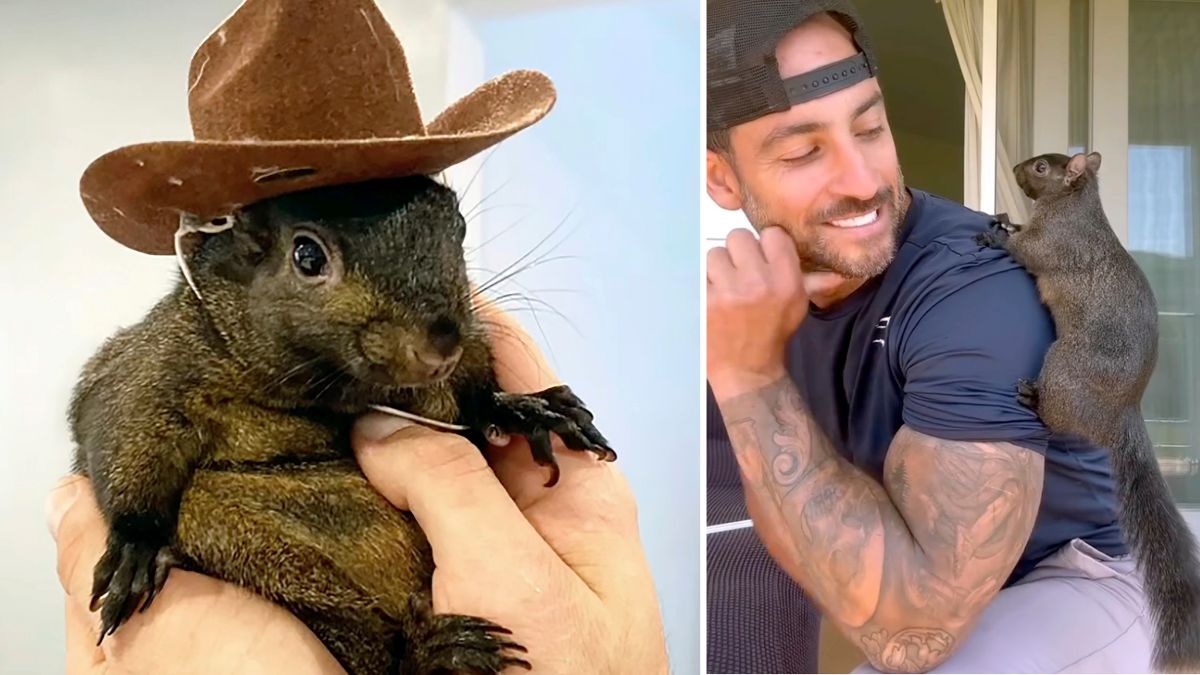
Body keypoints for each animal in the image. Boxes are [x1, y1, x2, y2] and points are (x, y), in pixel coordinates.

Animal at [68, 174, 615, 675]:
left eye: (457, 227)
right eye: (307, 256)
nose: (441, 345)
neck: (331, 391)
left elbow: (474, 397)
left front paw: (522, 409)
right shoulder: (154, 366)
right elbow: (125, 429)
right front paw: (135, 546)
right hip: (252, 548)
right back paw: (433, 653)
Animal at [976, 151, 1200, 673]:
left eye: (1042, 168)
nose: (1015, 169)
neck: (1072, 207)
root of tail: (1121, 413)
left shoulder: (1055, 245)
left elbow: (1026, 251)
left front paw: (997, 234)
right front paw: (1004, 216)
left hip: (1062, 369)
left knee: (1055, 419)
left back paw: (1033, 401)